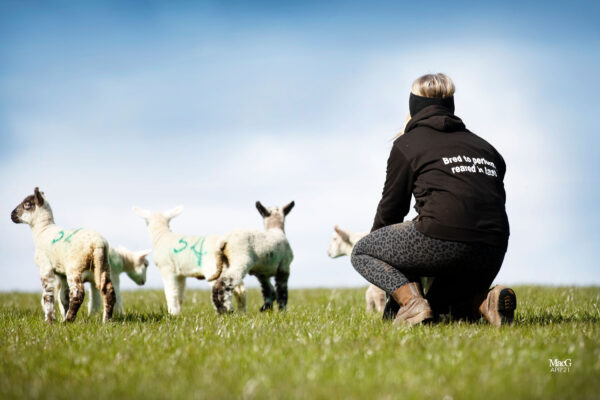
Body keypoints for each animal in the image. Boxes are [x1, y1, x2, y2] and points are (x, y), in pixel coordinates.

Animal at [10, 187, 115, 322]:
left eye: (27, 204)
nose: (11, 215)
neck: (42, 230)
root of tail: (97, 243)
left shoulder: (45, 267)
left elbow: (48, 295)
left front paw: (50, 320)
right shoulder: (61, 274)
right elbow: (63, 297)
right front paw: (60, 315)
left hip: (75, 268)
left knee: (78, 294)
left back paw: (68, 320)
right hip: (103, 266)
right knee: (108, 291)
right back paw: (106, 320)